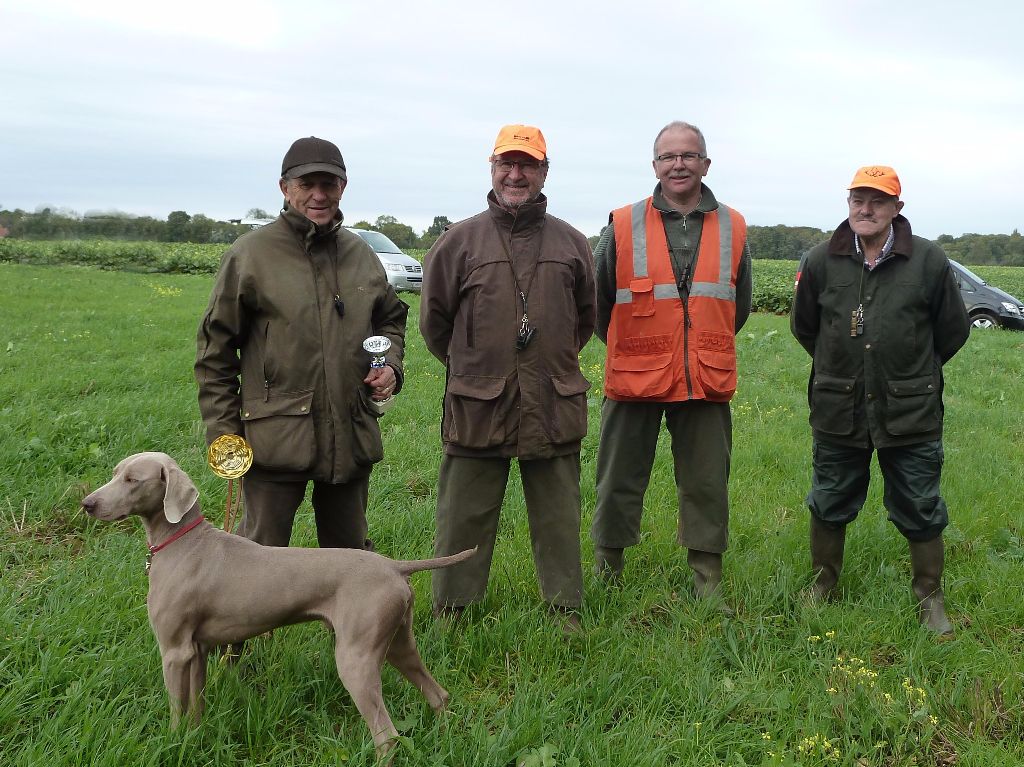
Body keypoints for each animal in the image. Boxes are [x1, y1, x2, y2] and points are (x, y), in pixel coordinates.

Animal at [82, 452, 475, 757]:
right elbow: (196, 705)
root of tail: (394, 565)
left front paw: (173, 743)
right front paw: (194, 739)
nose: (88, 504)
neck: (183, 541)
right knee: (439, 695)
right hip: (397, 642)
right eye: (115, 473)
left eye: (133, 480)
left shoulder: (174, 651)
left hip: (356, 657)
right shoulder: (197, 650)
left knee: (387, 735)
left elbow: (177, 708)